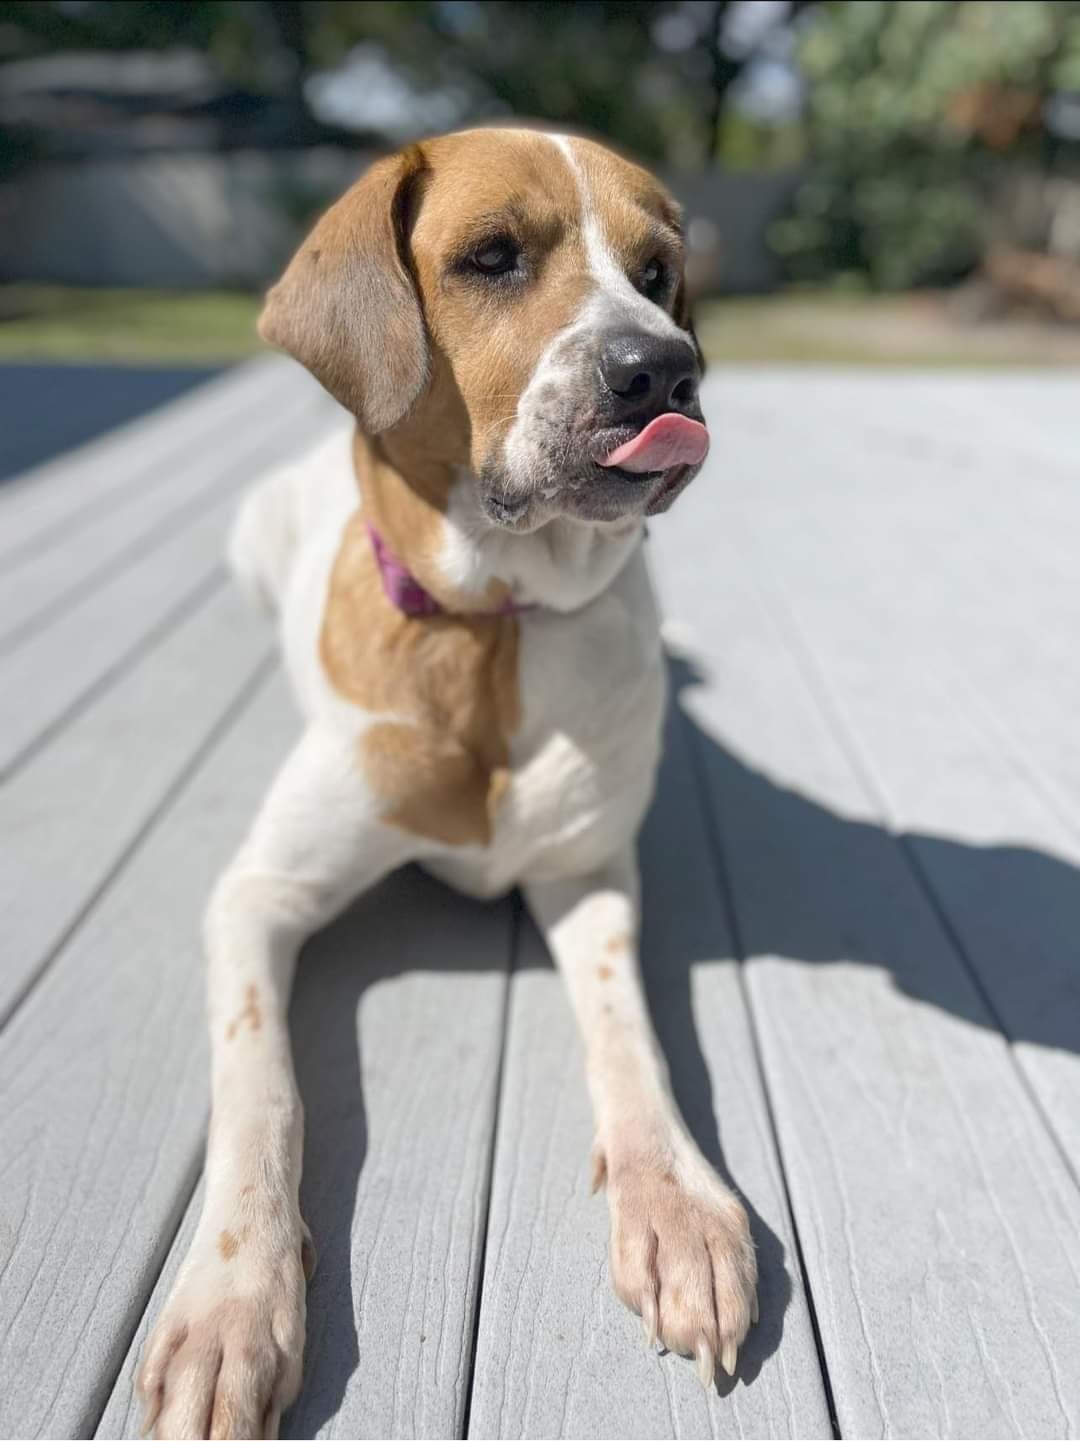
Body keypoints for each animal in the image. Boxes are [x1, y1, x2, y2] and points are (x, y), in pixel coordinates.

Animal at [134, 129, 755, 1435]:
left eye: (658, 272)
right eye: (492, 256)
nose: (664, 370)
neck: (495, 626)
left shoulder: (588, 875)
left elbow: (631, 1037)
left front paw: (674, 1204)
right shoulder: (255, 896)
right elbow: (262, 1088)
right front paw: (233, 1302)